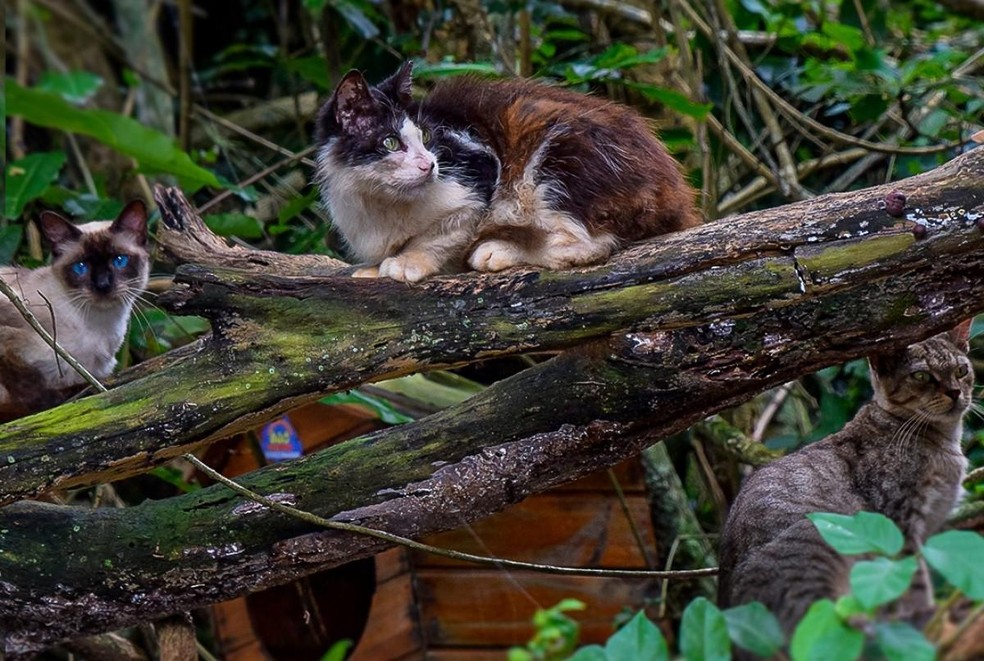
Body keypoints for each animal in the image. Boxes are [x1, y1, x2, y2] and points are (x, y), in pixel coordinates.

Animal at [0, 200, 150, 422]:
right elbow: (32, 390)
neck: (100, 328)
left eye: (119, 260)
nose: (103, 285)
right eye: (81, 266)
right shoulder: (8, 346)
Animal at [316, 58, 700, 282]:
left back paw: (499, 250)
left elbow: (445, 231)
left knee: (594, 243)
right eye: (391, 142)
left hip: (560, 157)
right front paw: (373, 267)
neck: (381, 202)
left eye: (426, 137)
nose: (431, 164)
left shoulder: (479, 171)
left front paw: (408, 261)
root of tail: (675, 193)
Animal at [716, 322, 976, 640]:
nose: (954, 392)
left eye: (961, 370)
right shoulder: (899, 524)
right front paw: (925, 618)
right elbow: (913, 579)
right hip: (818, 534)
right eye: (921, 376)